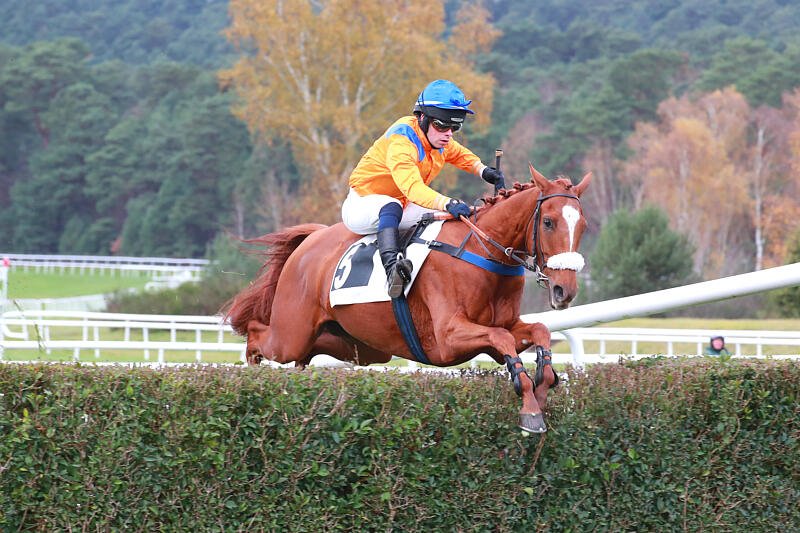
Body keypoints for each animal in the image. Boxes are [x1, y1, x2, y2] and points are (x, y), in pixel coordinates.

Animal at [224, 165, 591, 433]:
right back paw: (254, 374)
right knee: (257, 333)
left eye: (584, 226)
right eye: (548, 221)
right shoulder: (448, 338)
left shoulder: (505, 326)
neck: (480, 251)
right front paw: (530, 409)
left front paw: (542, 387)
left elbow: (539, 331)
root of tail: (310, 241)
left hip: (362, 347)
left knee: (311, 350)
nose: (564, 290)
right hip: (291, 333)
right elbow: (501, 338)